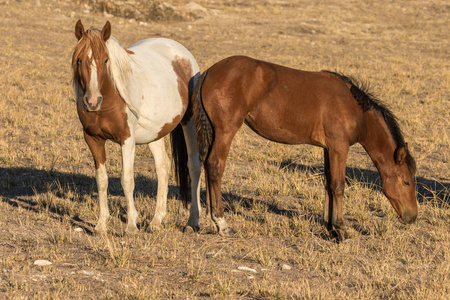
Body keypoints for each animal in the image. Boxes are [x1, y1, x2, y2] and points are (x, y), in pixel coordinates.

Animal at [72, 19, 202, 233]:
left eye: (105, 60)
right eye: (79, 60)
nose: (92, 101)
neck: (111, 97)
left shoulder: (127, 139)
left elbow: (127, 179)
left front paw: (131, 225)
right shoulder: (93, 139)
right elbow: (102, 180)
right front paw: (101, 225)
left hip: (189, 123)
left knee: (194, 166)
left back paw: (193, 221)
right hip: (155, 133)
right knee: (162, 167)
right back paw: (156, 221)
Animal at [188, 55, 416, 239]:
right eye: (406, 182)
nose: (412, 217)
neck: (355, 110)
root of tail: (209, 72)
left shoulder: (328, 148)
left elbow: (328, 183)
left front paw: (329, 227)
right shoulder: (339, 147)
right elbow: (338, 185)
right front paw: (341, 229)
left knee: (206, 166)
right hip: (225, 131)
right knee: (215, 166)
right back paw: (221, 222)